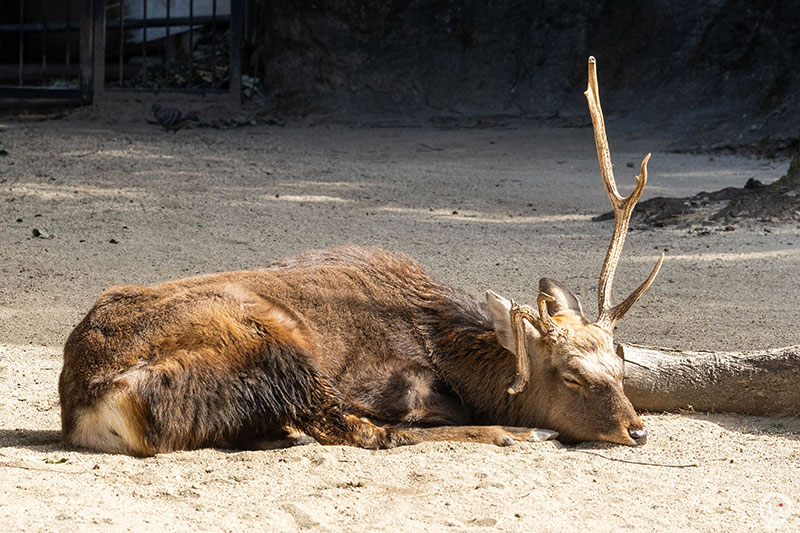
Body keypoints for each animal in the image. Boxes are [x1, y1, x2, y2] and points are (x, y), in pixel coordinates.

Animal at [57, 59, 664, 458]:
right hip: (276, 346)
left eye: (621, 366)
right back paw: (518, 433)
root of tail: (92, 403)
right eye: (571, 377)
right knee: (358, 431)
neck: (452, 354)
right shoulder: (390, 385)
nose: (637, 430)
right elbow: (404, 419)